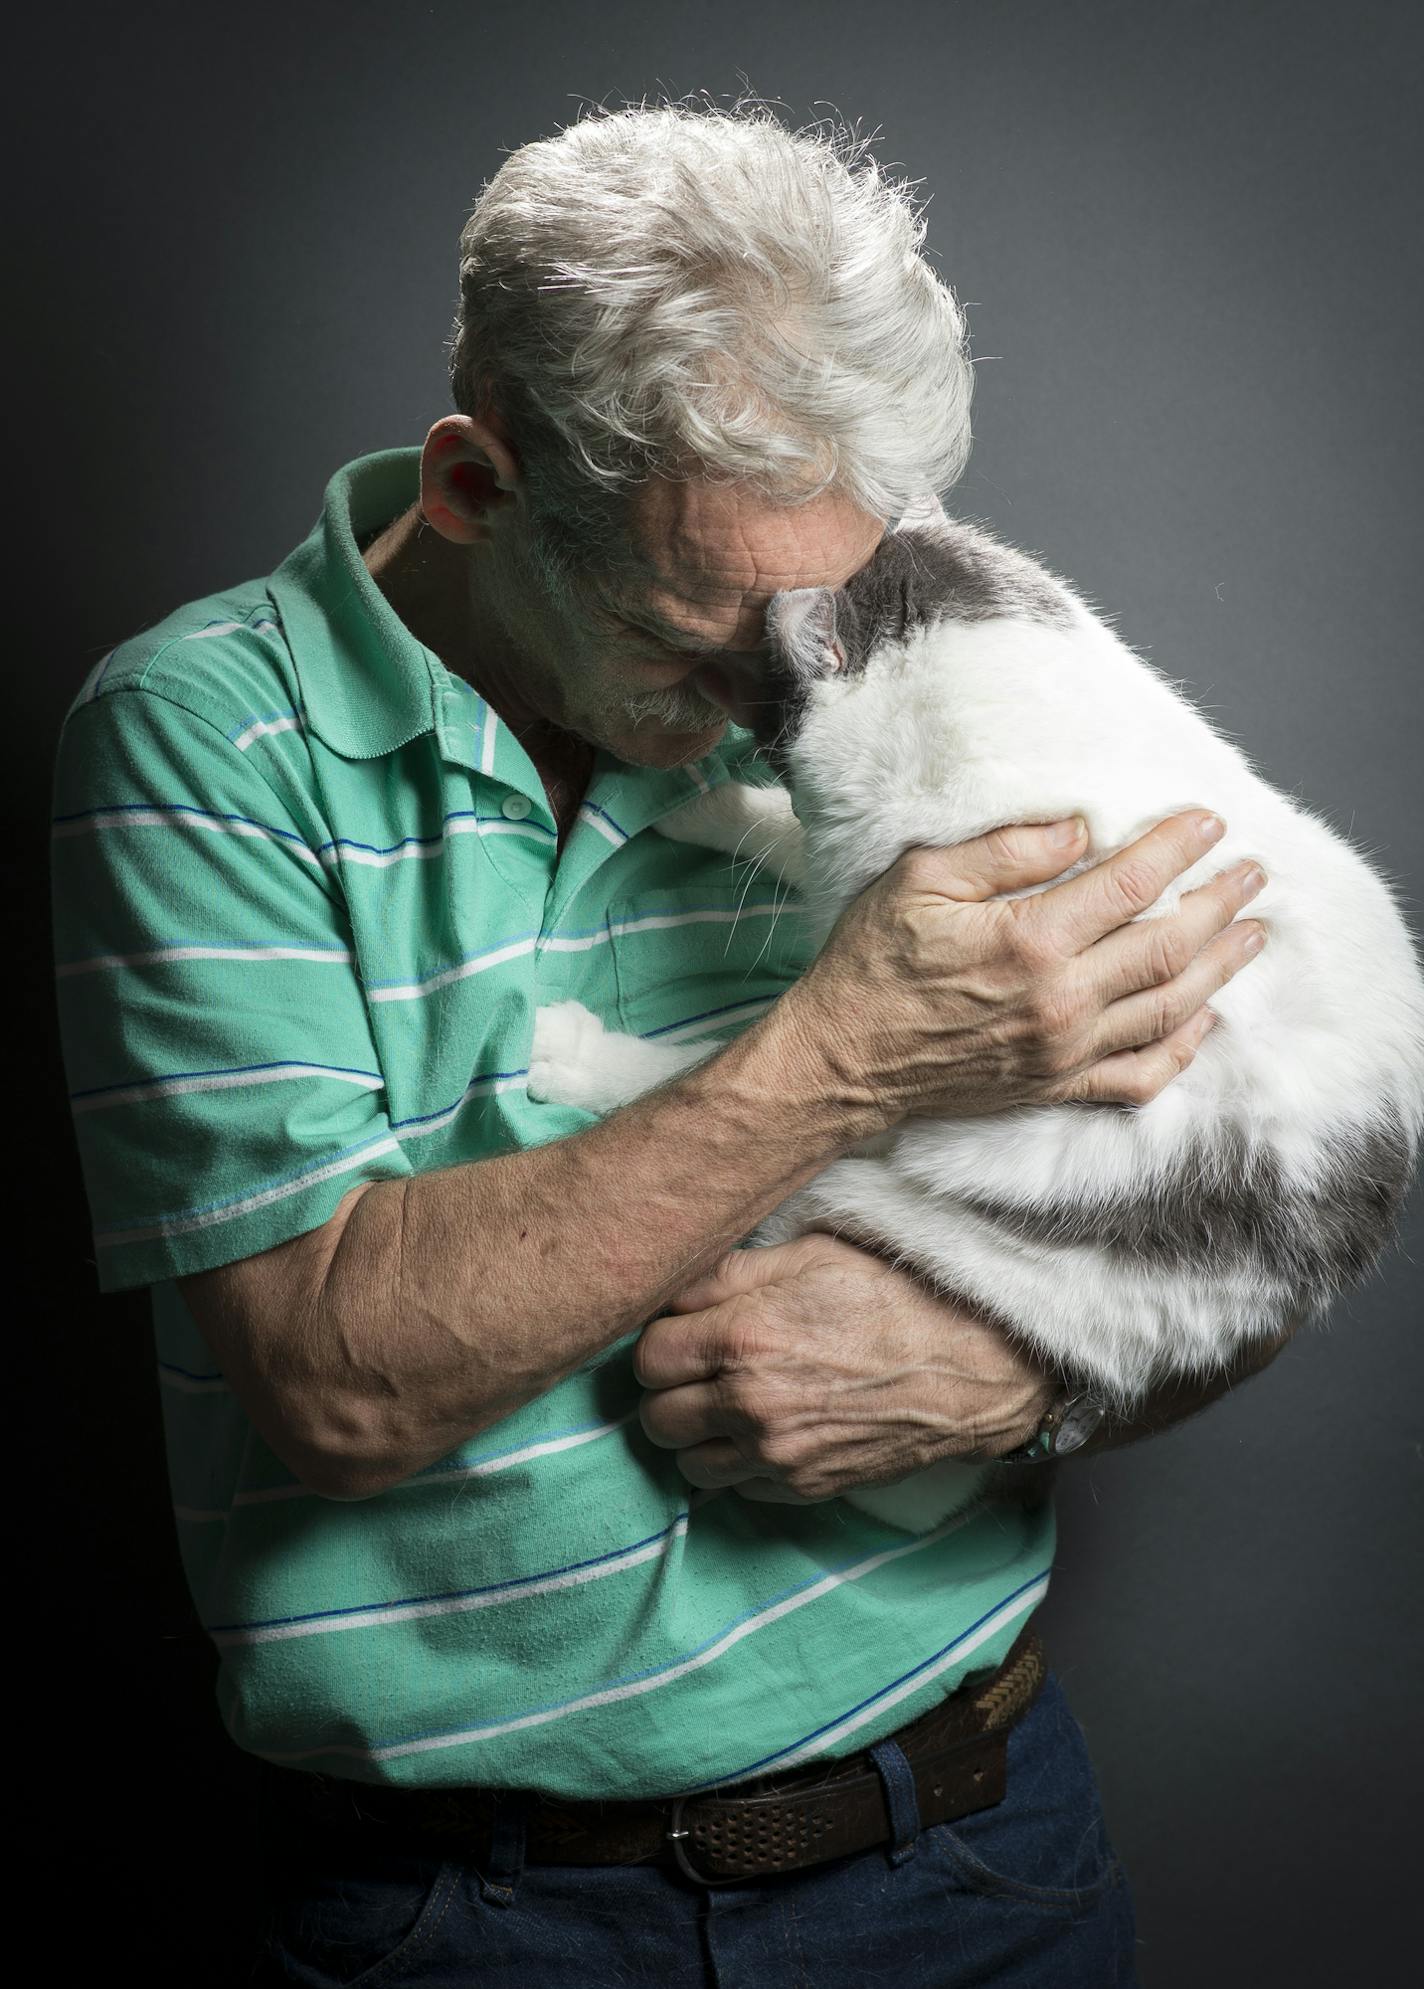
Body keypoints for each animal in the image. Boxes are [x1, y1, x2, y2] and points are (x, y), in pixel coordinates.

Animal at [525, 493, 1424, 1519]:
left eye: (767, 697)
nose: (733, 730)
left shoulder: (896, 1080)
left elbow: (707, 1072)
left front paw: (573, 1053)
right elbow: (796, 842)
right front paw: (703, 800)